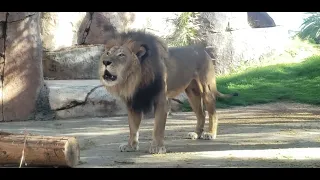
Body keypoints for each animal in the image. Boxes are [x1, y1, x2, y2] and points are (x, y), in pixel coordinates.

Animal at [99, 30, 238, 154]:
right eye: (107, 53)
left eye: (121, 55)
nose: (105, 62)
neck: (136, 79)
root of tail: (203, 50)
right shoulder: (133, 103)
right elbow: (133, 128)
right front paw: (130, 146)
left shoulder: (161, 101)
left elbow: (158, 127)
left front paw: (157, 147)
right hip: (192, 93)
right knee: (201, 114)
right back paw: (196, 133)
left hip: (206, 89)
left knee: (213, 113)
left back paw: (210, 134)